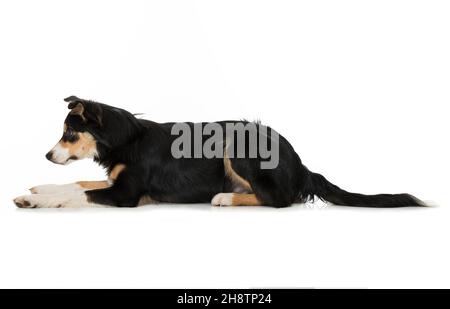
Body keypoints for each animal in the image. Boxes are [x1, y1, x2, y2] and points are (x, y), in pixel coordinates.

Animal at [12, 95, 424, 208]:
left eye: (68, 133)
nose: (47, 157)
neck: (126, 140)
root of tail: (300, 163)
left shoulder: (126, 194)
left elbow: (79, 192)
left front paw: (35, 200)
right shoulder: (118, 182)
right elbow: (78, 184)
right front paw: (37, 189)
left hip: (237, 142)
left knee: (279, 199)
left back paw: (224, 197)